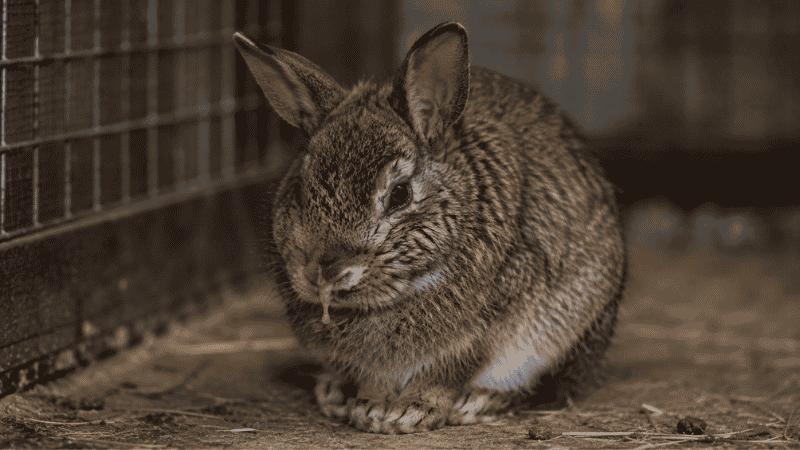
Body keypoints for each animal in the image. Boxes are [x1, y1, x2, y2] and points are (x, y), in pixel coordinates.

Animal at [233, 21, 626, 434]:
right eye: (299, 188)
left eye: (400, 194)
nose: (324, 270)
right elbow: (372, 376)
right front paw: (371, 407)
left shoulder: (481, 333)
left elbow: (445, 375)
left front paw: (408, 412)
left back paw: (477, 402)